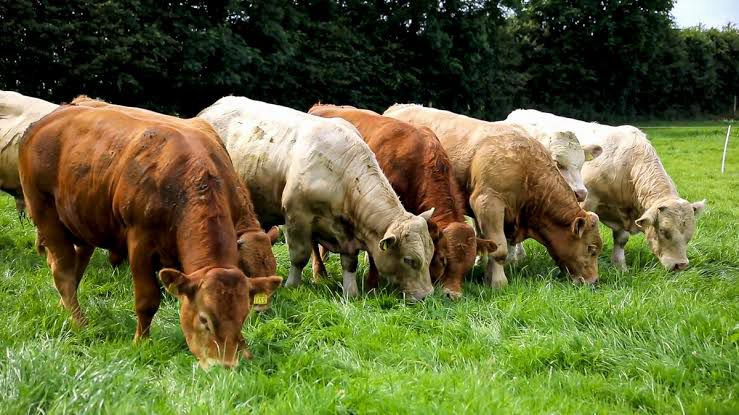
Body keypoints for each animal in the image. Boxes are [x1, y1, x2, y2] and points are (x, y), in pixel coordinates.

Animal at [198, 96, 435, 301]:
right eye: (409, 260)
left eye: (431, 254)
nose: (427, 295)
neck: (342, 174)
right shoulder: (296, 218)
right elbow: (299, 256)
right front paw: (292, 285)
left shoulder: (346, 233)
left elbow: (349, 262)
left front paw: (351, 292)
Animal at [308, 104, 496, 298]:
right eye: (443, 259)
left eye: (468, 266)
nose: (453, 295)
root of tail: (320, 106)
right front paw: (372, 284)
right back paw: (319, 273)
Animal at [384, 104, 603, 288]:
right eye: (591, 248)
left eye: (582, 164)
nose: (593, 281)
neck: (525, 168)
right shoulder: (488, 203)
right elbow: (499, 248)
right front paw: (497, 281)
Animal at [502, 109, 706, 271]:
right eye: (664, 231)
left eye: (690, 234)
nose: (681, 265)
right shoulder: (587, 201)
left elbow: (621, 239)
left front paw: (620, 266)